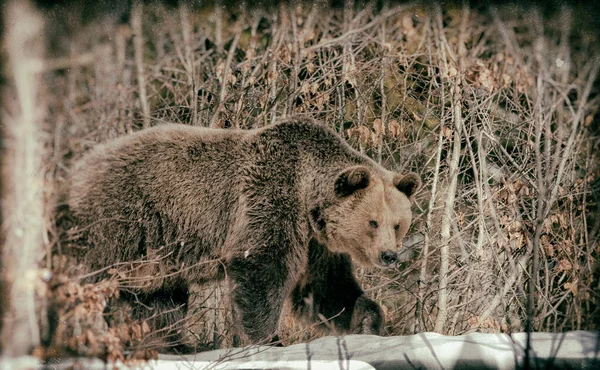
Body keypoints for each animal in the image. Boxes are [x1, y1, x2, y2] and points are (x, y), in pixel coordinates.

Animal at [67, 117, 422, 352]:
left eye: (397, 223)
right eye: (373, 222)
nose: (389, 256)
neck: (309, 199)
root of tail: (79, 166)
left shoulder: (316, 243)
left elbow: (324, 288)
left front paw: (367, 321)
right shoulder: (269, 200)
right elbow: (262, 269)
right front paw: (267, 340)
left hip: (158, 254)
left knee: (157, 299)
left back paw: (168, 343)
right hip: (123, 219)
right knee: (97, 278)